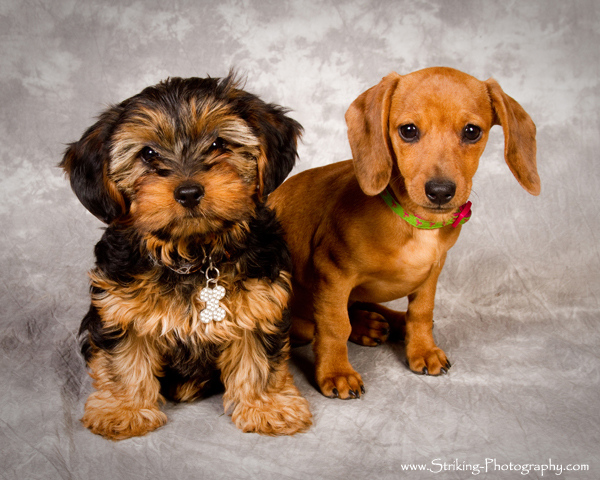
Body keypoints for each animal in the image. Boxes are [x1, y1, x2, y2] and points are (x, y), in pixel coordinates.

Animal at [61, 72, 312, 438]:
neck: (193, 253)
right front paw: (124, 409)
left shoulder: (261, 300)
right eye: (148, 154)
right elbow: (124, 360)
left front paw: (267, 406)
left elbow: (260, 357)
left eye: (218, 144)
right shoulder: (119, 306)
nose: (189, 192)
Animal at [268, 65, 540, 400]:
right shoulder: (332, 273)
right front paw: (336, 371)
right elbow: (334, 326)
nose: (440, 191)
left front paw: (422, 349)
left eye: (472, 131)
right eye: (408, 130)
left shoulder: (433, 271)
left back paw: (382, 322)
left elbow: (421, 312)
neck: (415, 222)